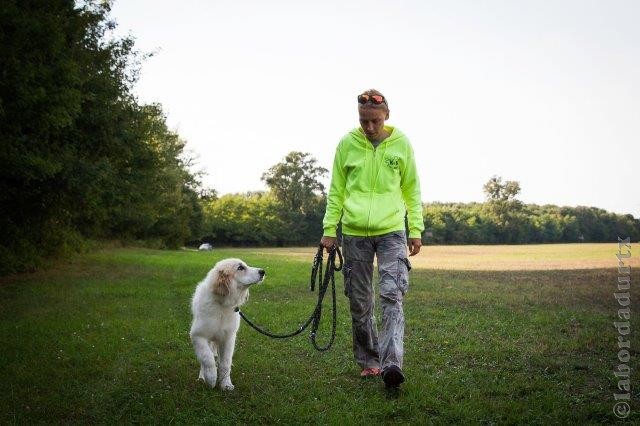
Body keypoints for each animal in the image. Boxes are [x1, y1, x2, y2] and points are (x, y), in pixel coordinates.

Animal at [189, 258, 264, 392]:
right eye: (240, 268)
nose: (263, 272)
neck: (222, 306)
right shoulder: (198, 335)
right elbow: (207, 358)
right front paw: (211, 378)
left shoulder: (228, 338)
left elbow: (225, 363)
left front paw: (226, 384)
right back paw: (202, 376)